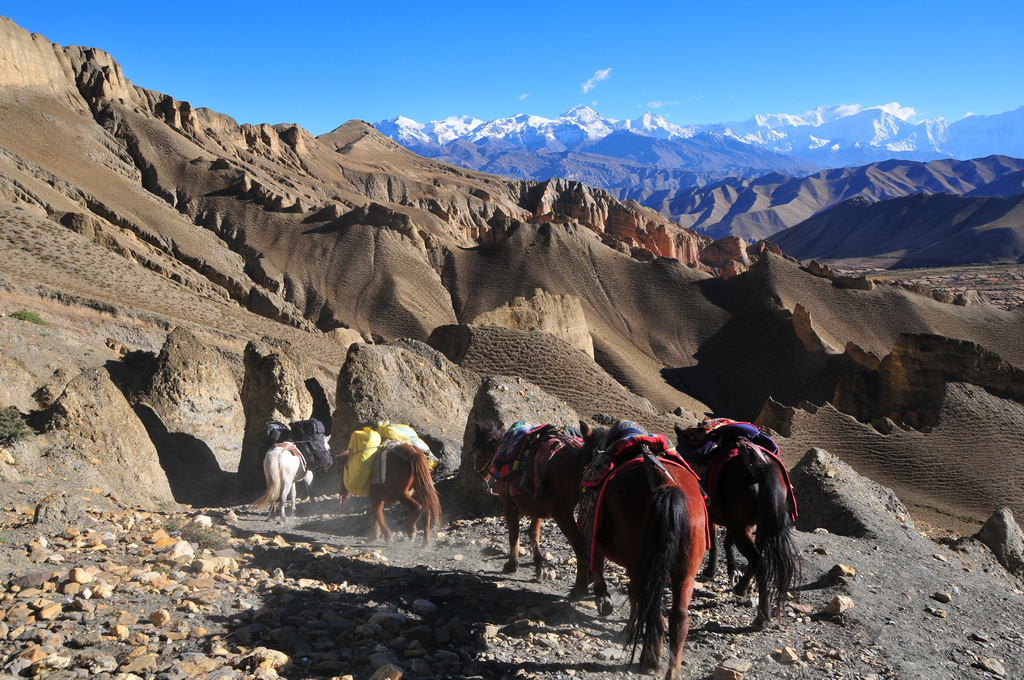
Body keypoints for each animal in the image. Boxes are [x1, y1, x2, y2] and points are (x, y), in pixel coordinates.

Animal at [468, 419, 589, 602]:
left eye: (475, 451)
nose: (478, 476)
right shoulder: (536, 507)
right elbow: (534, 533)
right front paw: (540, 566)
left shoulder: (508, 504)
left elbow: (514, 535)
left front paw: (511, 565)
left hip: (563, 514)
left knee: (580, 545)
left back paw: (580, 587)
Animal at [581, 419, 708, 680]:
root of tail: (664, 483)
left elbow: (604, 574)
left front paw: (605, 603)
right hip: (686, 572)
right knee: (678, 616)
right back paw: (671, 670)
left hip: (641, 566)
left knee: (650, 607)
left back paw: (649, 659)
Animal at [675, 417, 802, 630]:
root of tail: (759, 465)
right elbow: (727, 543)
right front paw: (731, 571)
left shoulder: (713, 515)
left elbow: (715, 542)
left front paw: (710, 572)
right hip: (759, 525)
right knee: (759, 555)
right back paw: (742, 588)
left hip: (742, 527)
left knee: (758, 559)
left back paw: (761, 618)